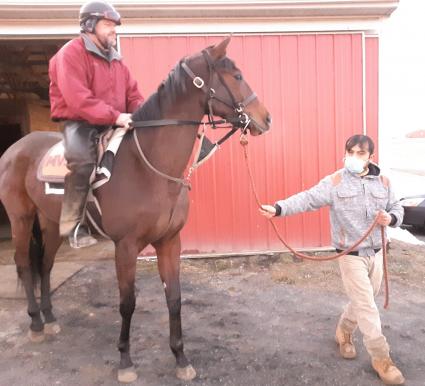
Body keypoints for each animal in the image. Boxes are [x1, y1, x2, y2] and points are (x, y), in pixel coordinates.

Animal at [0, 37, 270, 382]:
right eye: (236, 76)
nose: (266, 118)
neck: (150, 167)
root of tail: (15, 149)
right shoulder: (125, 247)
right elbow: (127, 303)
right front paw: (125, 361)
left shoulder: (169, 242)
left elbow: (174, 298)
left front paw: (180, 358)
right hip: (21, 219)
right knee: (24, 265)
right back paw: (35, 322)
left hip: (50, 224)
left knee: (44, 266)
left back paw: (50, 318)